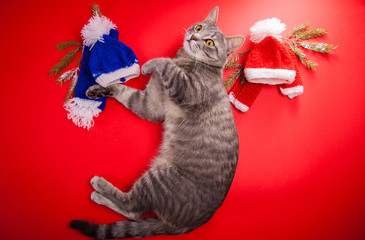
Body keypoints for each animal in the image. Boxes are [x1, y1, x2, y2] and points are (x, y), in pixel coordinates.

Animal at [69, 6, 243, 239]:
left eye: (209, 43)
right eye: (199, 28)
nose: (193, 37)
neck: (185, 60)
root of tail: (185, 226)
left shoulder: (188, 89)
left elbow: (165, 62)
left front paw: (150, 65)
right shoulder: (150, 104)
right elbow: (122, 90)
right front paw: (98, 89)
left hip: (159, 179)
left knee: (133, 208)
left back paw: (99, 189)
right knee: (133, 211)